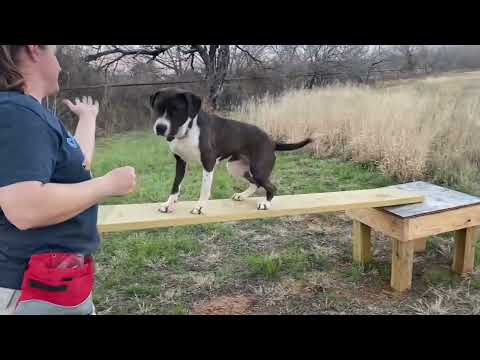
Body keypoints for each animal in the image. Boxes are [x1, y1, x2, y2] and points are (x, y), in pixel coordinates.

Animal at [151, 88, 316, 214]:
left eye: (176, 110)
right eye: (157, 108)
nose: (160, 128)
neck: (187, 131)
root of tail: (272, 141)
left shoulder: (208, 163)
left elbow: (204, 189)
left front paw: (199, 207)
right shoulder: (181, 162)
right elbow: (175, 187)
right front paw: (168, 204)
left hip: (259, 169)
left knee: (270, 186)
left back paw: (266, 203)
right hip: (236, 168)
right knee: (255, 183)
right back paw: (242, 195)